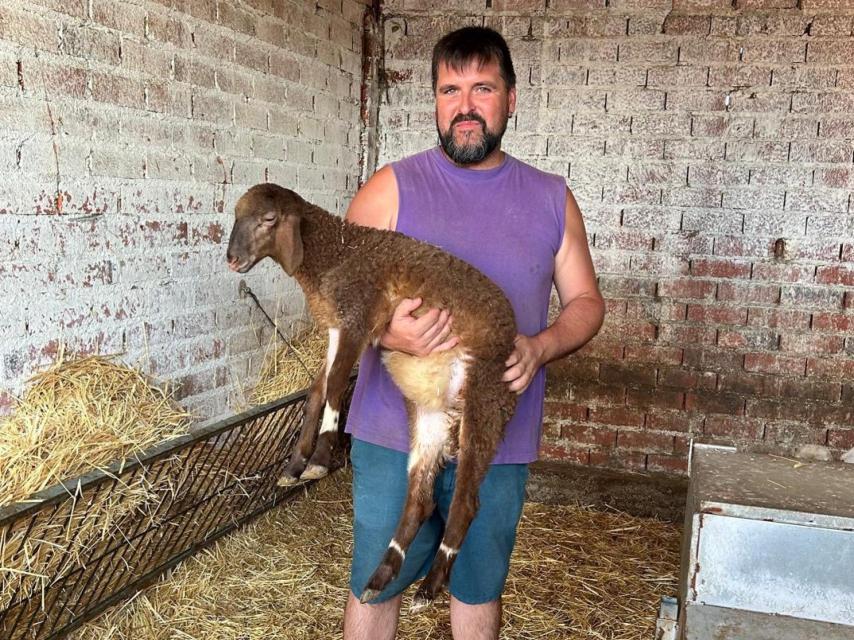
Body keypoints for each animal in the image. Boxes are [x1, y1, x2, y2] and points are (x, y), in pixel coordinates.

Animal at [226, 182, 517, 607]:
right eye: (236, 215)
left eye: (269, 219)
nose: (232, 259)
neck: (337, 251)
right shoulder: (336, 325)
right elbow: (317, 390)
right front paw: (294, 465)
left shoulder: (359, 315)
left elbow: (334, 386)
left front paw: (320, 457)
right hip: (430, 419)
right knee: (421, 500)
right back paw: (381, 577)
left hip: (486, 397)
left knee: (465, 503)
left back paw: (430, 586)